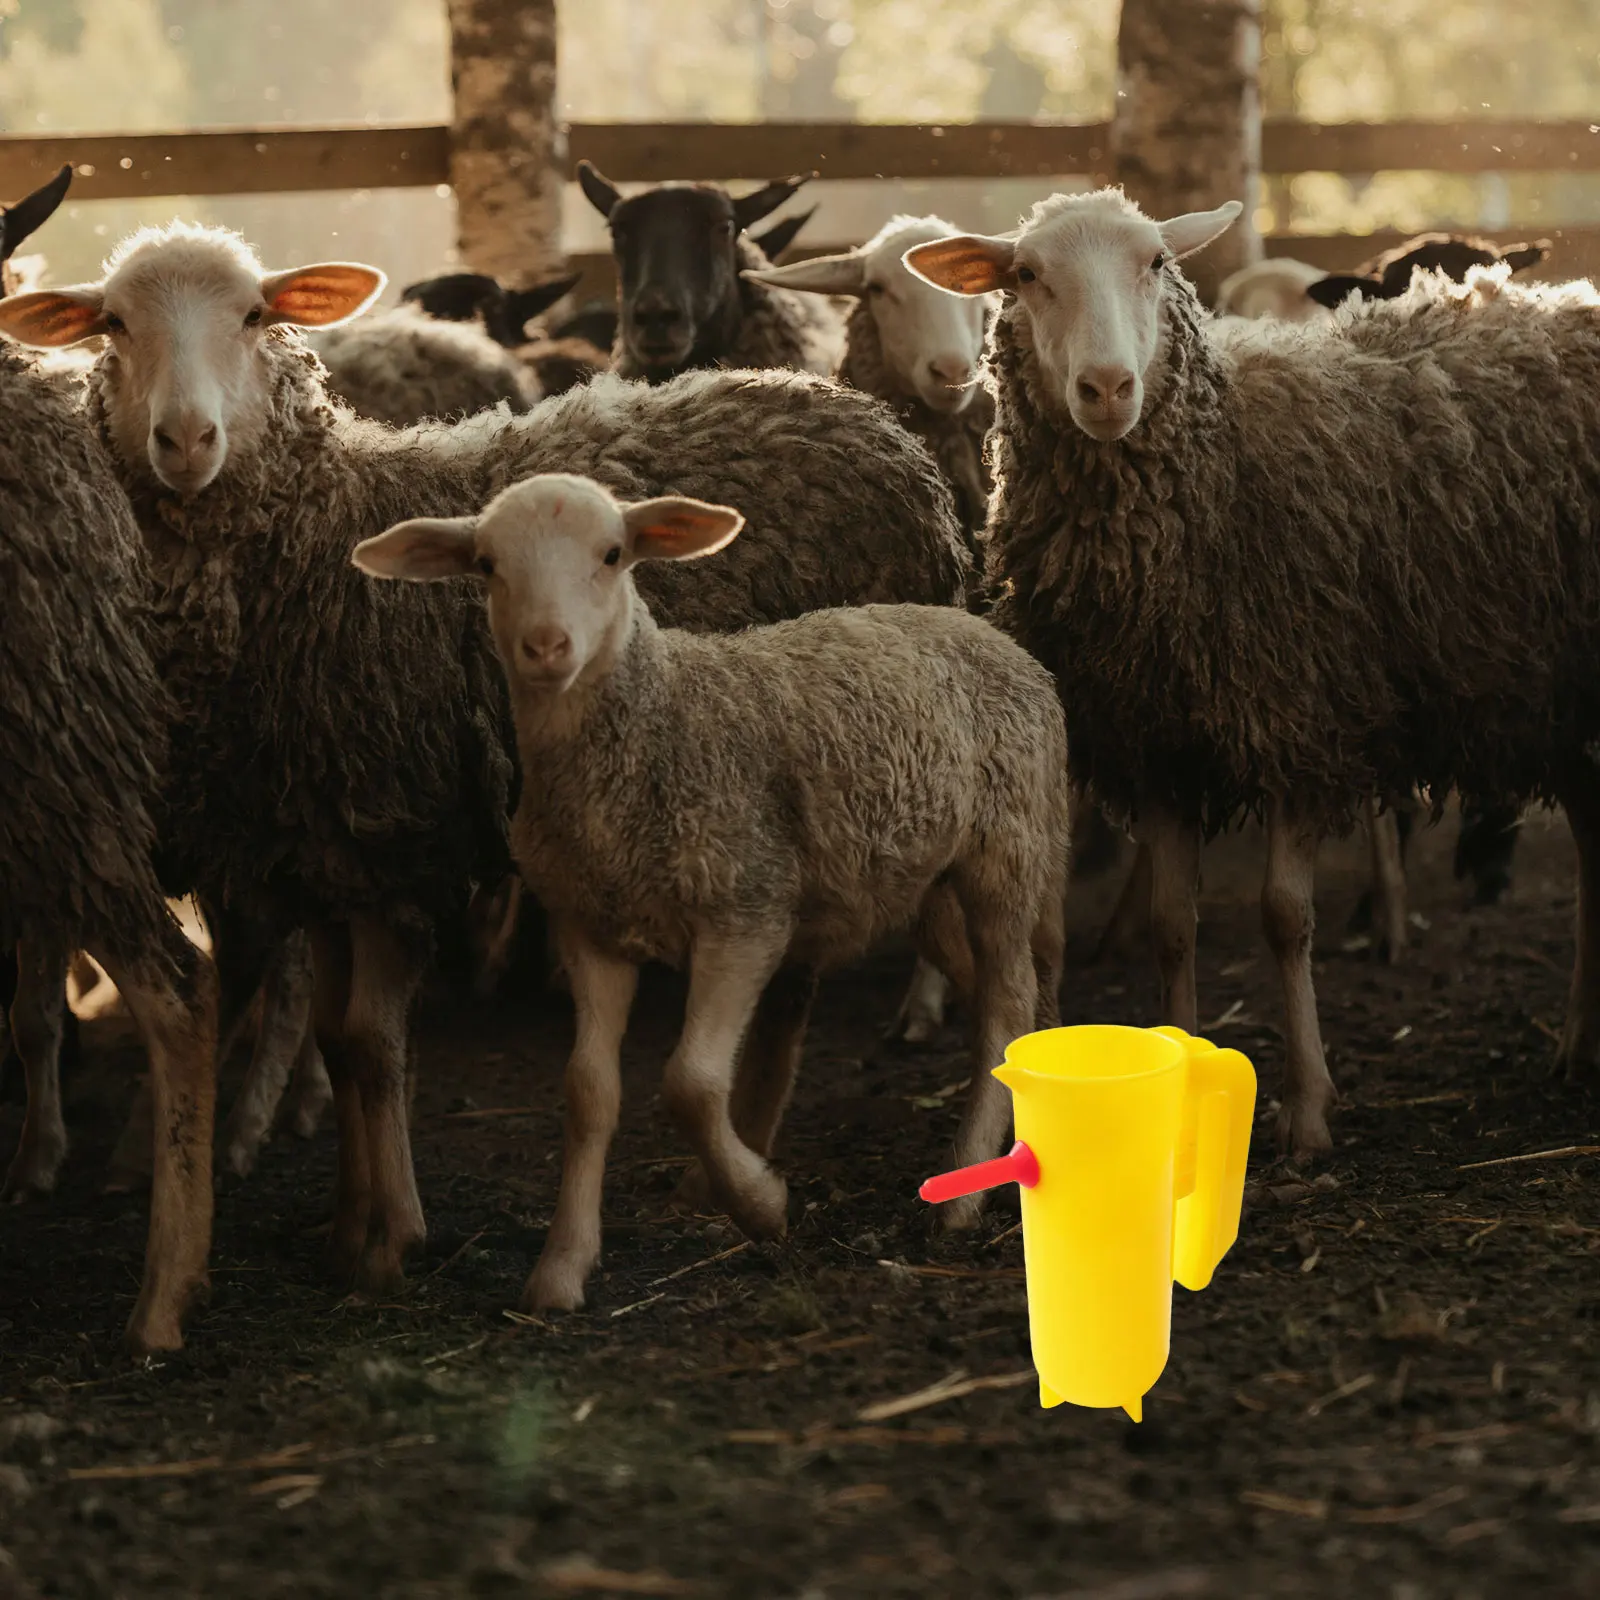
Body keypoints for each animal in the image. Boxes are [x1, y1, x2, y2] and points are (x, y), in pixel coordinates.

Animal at [353, 473, 1068, 1308]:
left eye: (612, 554)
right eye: (488, 565)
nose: (546, 647)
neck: (654, 728)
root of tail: (991, 633)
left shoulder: (744, 908)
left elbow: (691, 1083)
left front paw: (761, 1204)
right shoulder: (589, 929)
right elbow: (588, 1092)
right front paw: (562, 1266)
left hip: (1006, 849)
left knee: (1007, 1003)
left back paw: (962, 1197)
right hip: (924, 882)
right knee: (1007, 996)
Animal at [906, 187, 1600, 1159]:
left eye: (1156, 262)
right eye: (1028, 275)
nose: (1107, 389)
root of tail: (1562, 299)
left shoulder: (1301, 715)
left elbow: (1282, 917)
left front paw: (1308, 1109)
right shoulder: (1153, 743)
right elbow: (1172, 927)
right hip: (1554, 693)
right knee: (1592, 835)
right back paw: (1576, 1040)